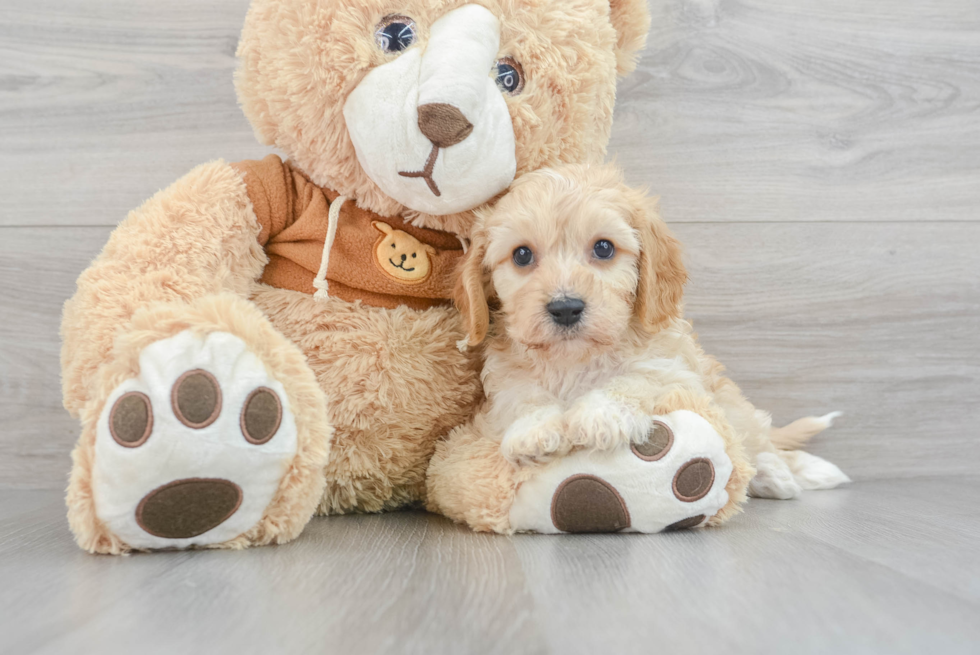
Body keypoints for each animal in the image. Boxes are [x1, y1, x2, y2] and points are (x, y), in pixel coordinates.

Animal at [460, 165, 848, 502]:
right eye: (521, 255)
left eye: (604, 248)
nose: (566, 308)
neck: (576, 359)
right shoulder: (504, 376)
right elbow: (520, 393)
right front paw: (535, 428)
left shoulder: (675, 369)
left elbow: (638, 377)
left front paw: (600, 414)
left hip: (731, 405)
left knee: (754, 437)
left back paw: (786, 472)